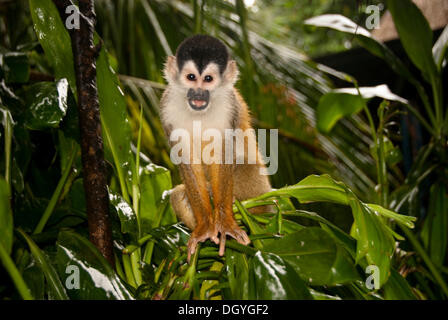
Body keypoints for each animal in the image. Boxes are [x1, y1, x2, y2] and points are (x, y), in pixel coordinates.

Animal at [162, 34, 272, 260]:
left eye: (208, 79)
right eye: (191, 77)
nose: (199, 94)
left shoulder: (230, 106)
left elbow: (223, 154)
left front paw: (225, 224)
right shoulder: (166, 106)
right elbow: (186, 159)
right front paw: (205, 228)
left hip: (259, 191)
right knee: (178, 194)